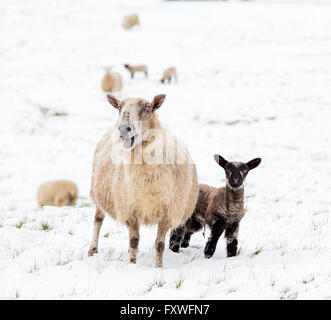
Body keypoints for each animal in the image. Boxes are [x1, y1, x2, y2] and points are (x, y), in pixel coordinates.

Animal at [87, 93, 200, 268]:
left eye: (148, 108)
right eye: (119, 107)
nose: (124, 129)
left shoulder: (166, 213)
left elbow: (159, 245)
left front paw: (159, 268)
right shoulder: (130, 209)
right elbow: (134, 241)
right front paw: (132, 264)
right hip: (99, 191)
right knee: (98, 218)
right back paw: (92, 250)